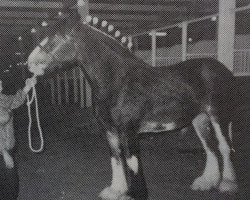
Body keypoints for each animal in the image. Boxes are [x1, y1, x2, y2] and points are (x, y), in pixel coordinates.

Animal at [26, 12, 238, 200]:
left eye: (55, 39)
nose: (29, 64)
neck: (118, 80)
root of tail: (223, 70)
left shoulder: (128, 131)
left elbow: (132, 163)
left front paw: (136, 194)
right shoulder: (110, 131)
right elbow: (116, 158)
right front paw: (116, 191)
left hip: (218, 115)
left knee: (224, 147)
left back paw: (227, 184)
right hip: (199, 119)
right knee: (210, 147)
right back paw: (206, 182)